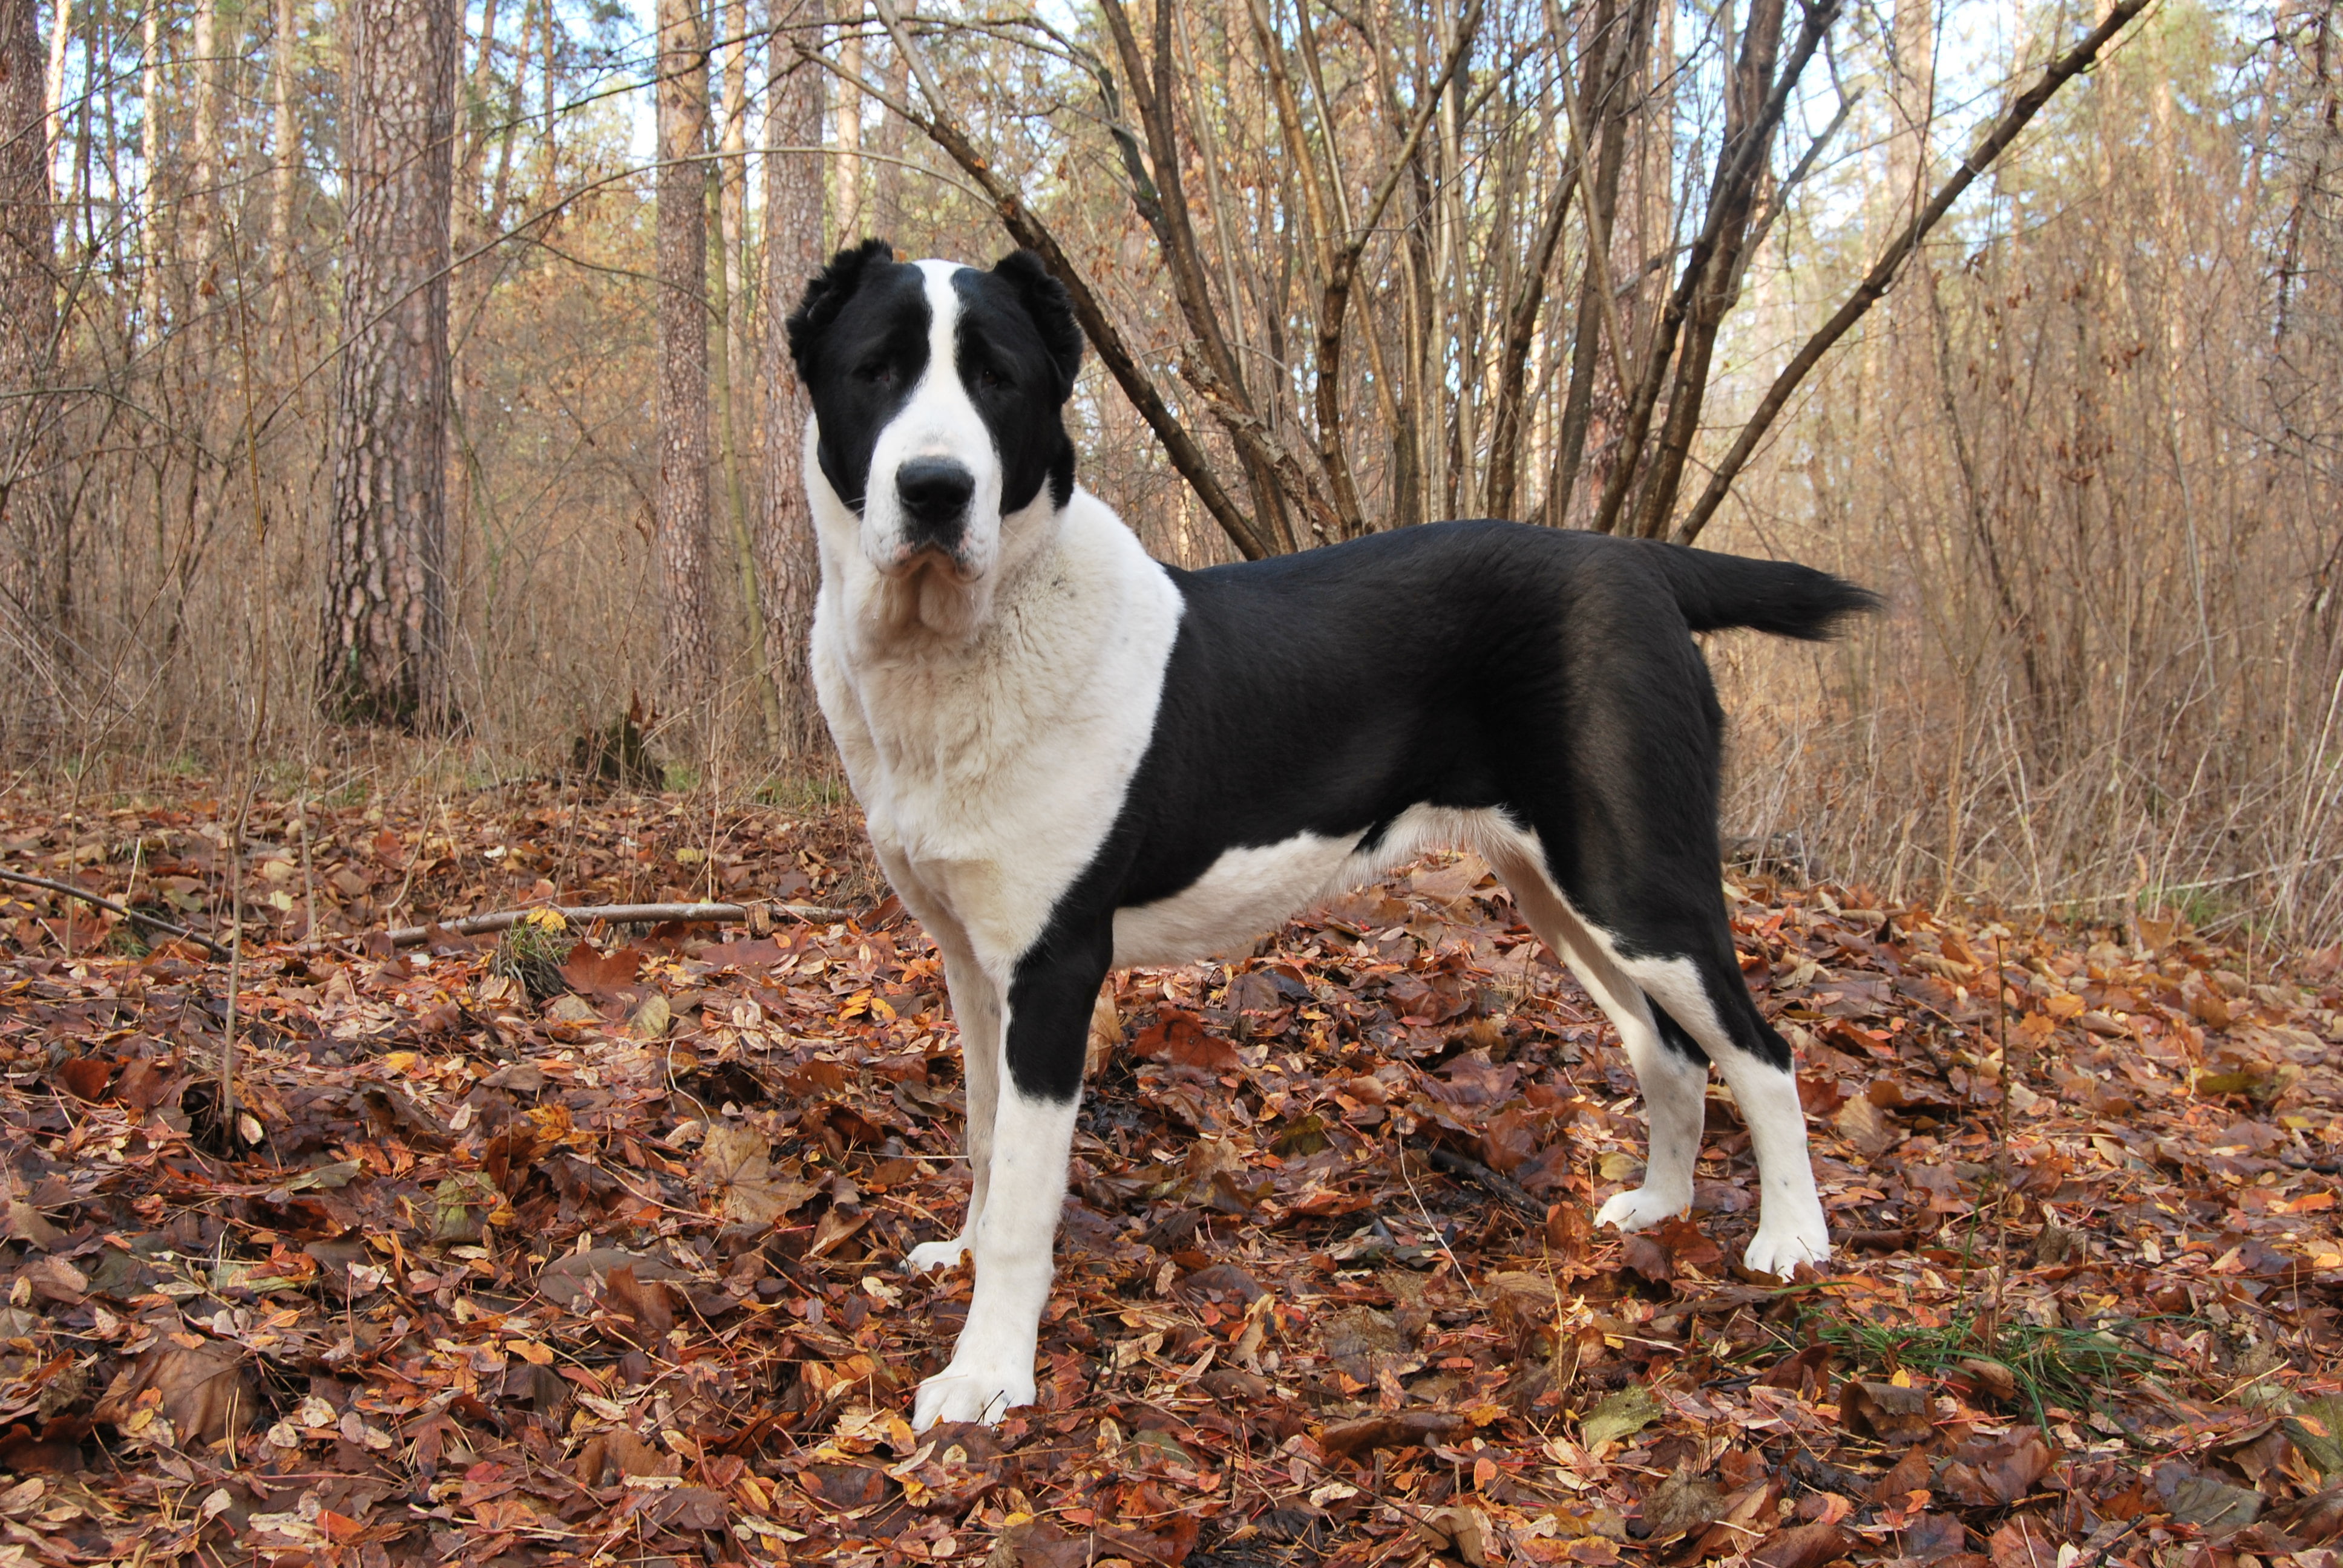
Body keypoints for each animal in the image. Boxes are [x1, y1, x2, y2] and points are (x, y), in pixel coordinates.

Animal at [791, 239, 1884, 1425]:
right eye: (876, 371)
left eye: (997, 379)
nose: (935, 488)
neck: (961, 643)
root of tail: (1639, 562)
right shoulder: (968, 959)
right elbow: (986, 1139)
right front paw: (957, 1256)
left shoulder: (1053, 969)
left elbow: (1027, 1195)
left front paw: (987, 1375)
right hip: (1560, 895)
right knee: (1670, 1050)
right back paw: (1658, 1211)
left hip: (1636, 884)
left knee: (1762, 1051)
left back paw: (1791, 1241)